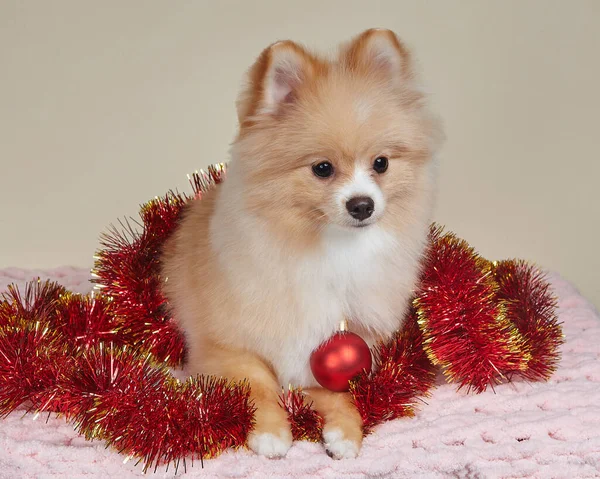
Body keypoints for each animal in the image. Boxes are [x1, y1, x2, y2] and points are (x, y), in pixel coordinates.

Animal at [162, 28, 442, 460]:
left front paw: (345, 434)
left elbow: (341, 396)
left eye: (380, 164)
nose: (362, 204)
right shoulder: (223, 347)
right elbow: (257, 383)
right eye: (322, 169)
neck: (333, 250)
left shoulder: (331, 355)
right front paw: (270, 431)